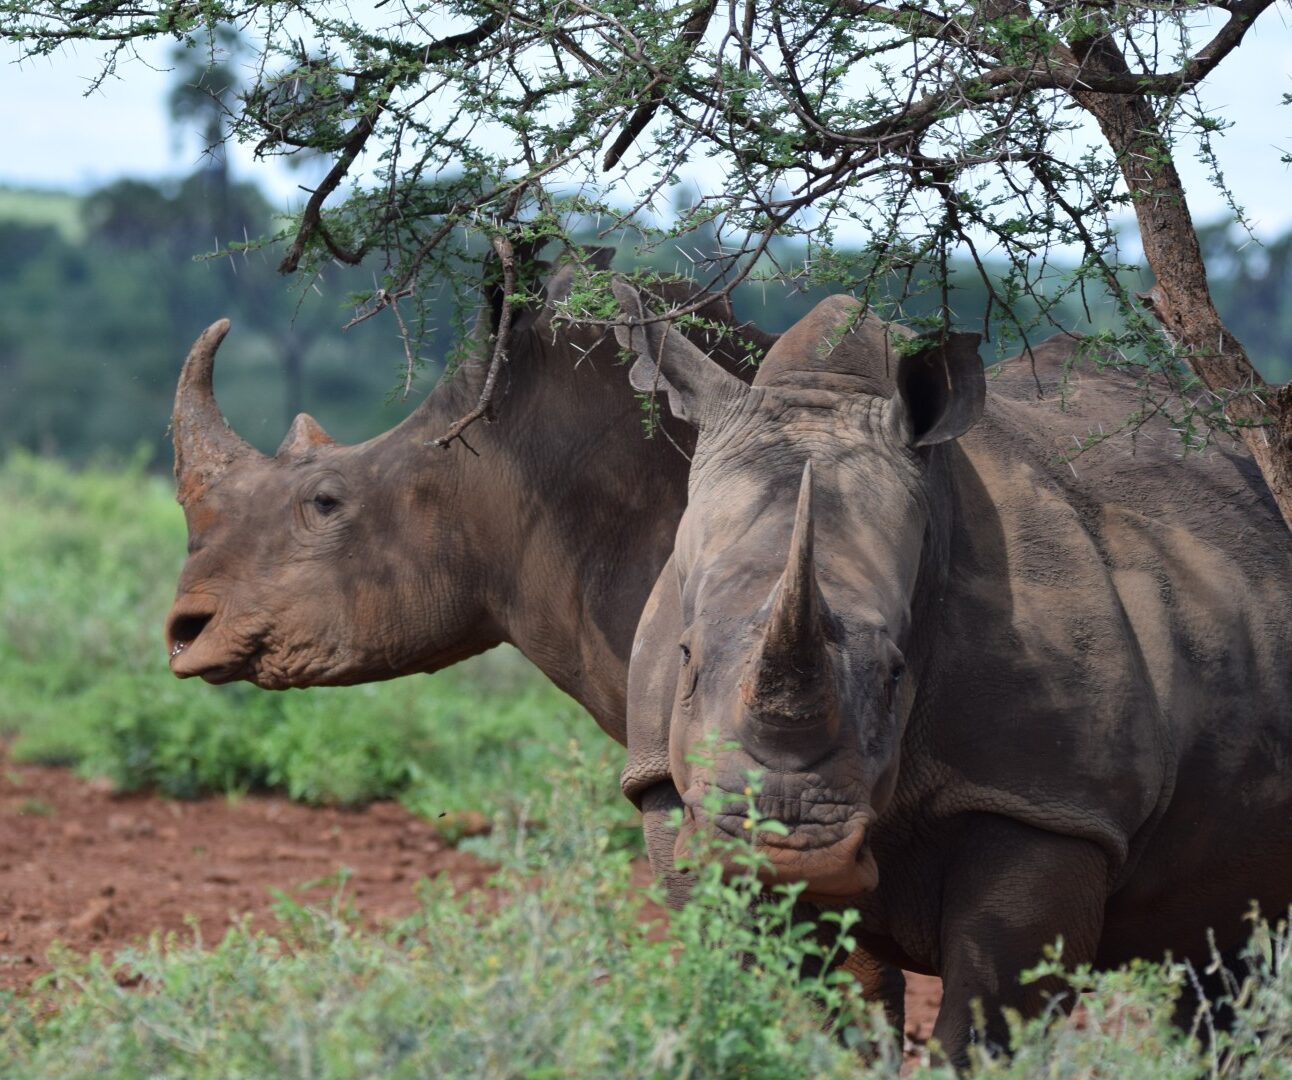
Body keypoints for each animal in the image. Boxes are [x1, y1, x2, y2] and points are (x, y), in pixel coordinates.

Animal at [612, 281, 1292, 1060]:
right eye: (686, 656)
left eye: (896, 674)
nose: (785, 849)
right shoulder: (665, 783)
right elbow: (813, 1003)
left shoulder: (1053, 803)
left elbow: (986, 1018)